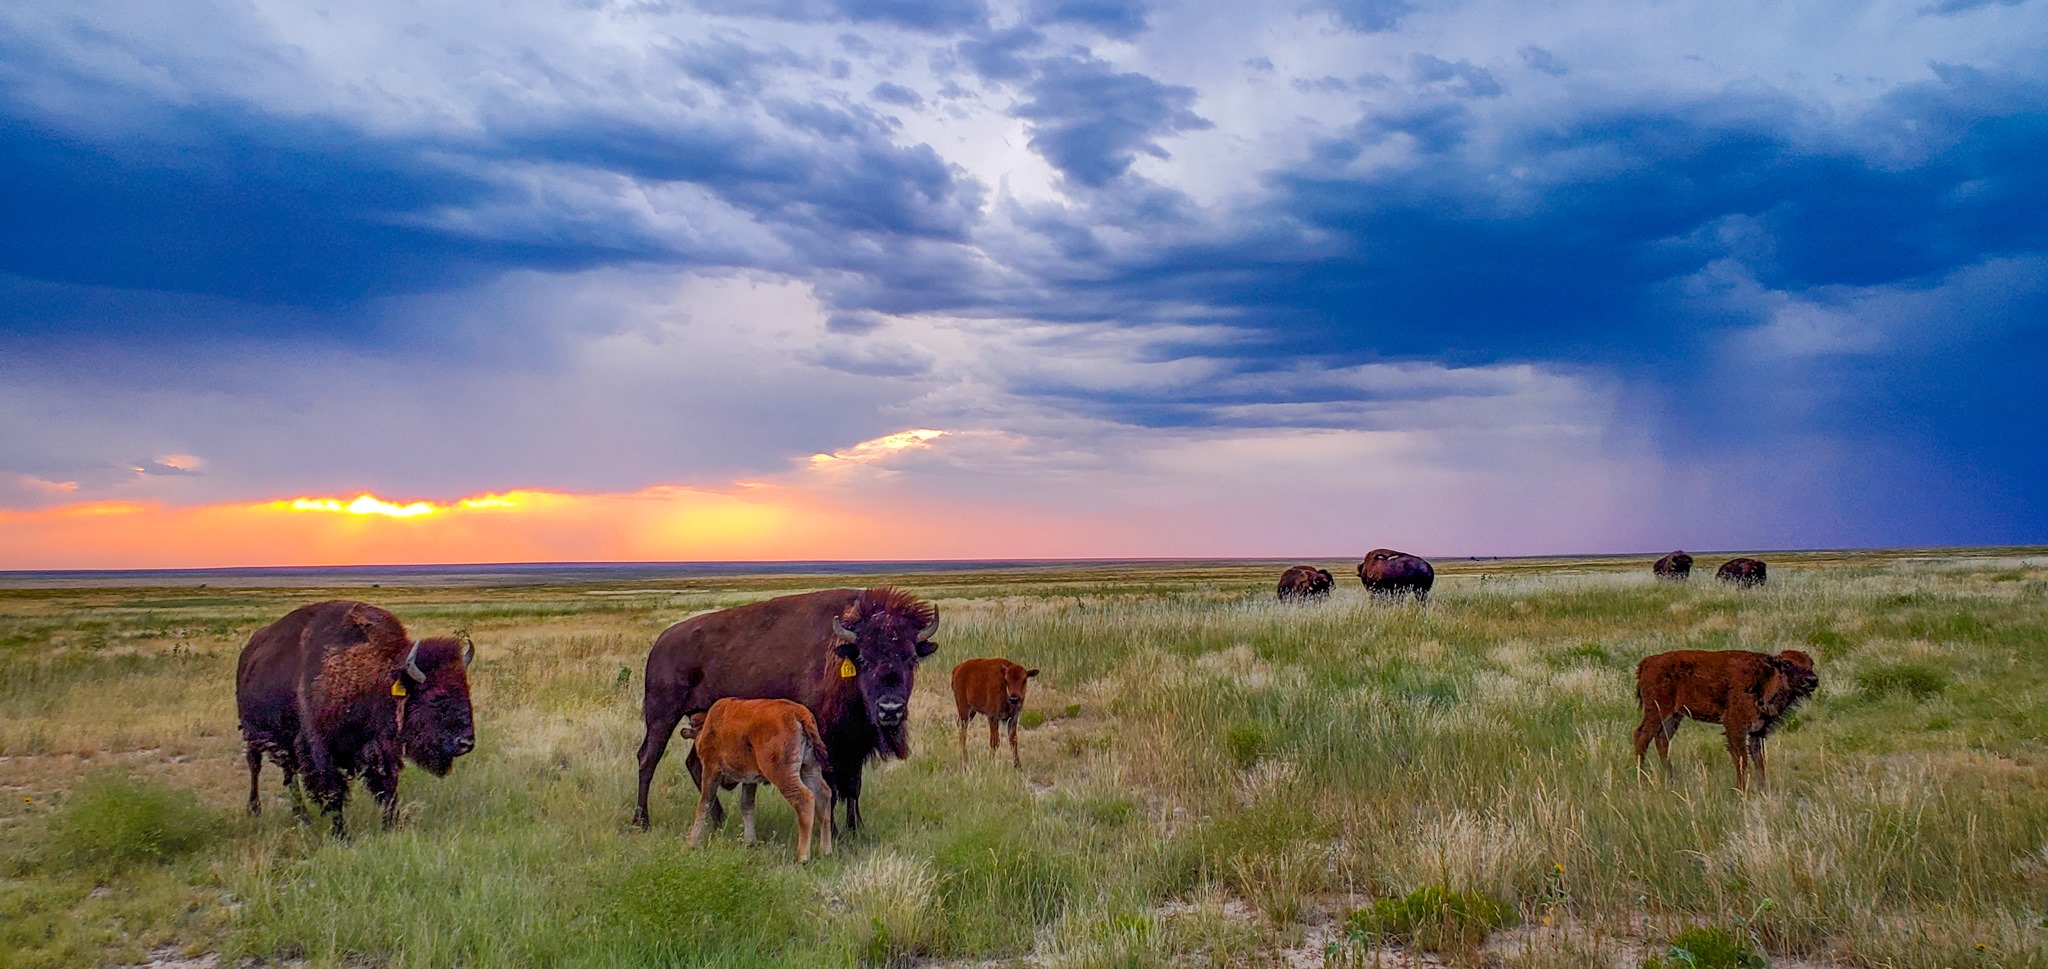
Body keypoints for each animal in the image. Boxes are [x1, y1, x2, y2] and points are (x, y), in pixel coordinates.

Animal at [234, 598, 473, 831]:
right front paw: (342, 834)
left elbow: (388, 788)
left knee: (288, 773)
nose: (466, 743)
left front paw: (390, 827)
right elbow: (333, 792)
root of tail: (248, 653)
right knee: (255, 764)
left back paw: (302, 817)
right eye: (435, 698)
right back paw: (255, 810)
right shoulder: (319, 748)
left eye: (466, 691)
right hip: (253, 733)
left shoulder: (379, 749)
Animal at [634, 585, 937, 835]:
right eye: (863, 658)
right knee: (648, 759)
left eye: (911, 658)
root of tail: (660, 643)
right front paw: (834, 832)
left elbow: (853, 787)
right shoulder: (825, 743)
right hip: (662, 716)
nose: (890, 709)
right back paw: (642, 822)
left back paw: (719, 821)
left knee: (694, 763)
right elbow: (831, 787)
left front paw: (856, 829)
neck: (842, 654)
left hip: (701, 721)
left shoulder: (855, 745)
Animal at [684, 696, 835, 860]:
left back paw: (802, 857)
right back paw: (826, 850)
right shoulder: (750, 779)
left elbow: (704, 804)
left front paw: (691, 843)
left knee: (804, 798)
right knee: (823, 796)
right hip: (809, 769)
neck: (710, 722)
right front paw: (750, 842)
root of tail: (799, 713)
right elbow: (746, 805)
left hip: (783, 774)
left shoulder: (711, 769)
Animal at [1630, 647, 1826, 790]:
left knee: (1662, 740)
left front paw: (1762, 789)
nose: (1811, 680)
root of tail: (1647, 663)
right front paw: (1741, 790)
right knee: (1641, 736)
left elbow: (1759, 760)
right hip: (1657, 712)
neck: (1765, 677)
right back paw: (1642, 781)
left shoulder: (1757, 731)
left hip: (1674, 716)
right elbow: (1741, 759)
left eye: (1811, 663)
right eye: (1786, 664)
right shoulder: (1735, 727)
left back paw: (1670, 779)